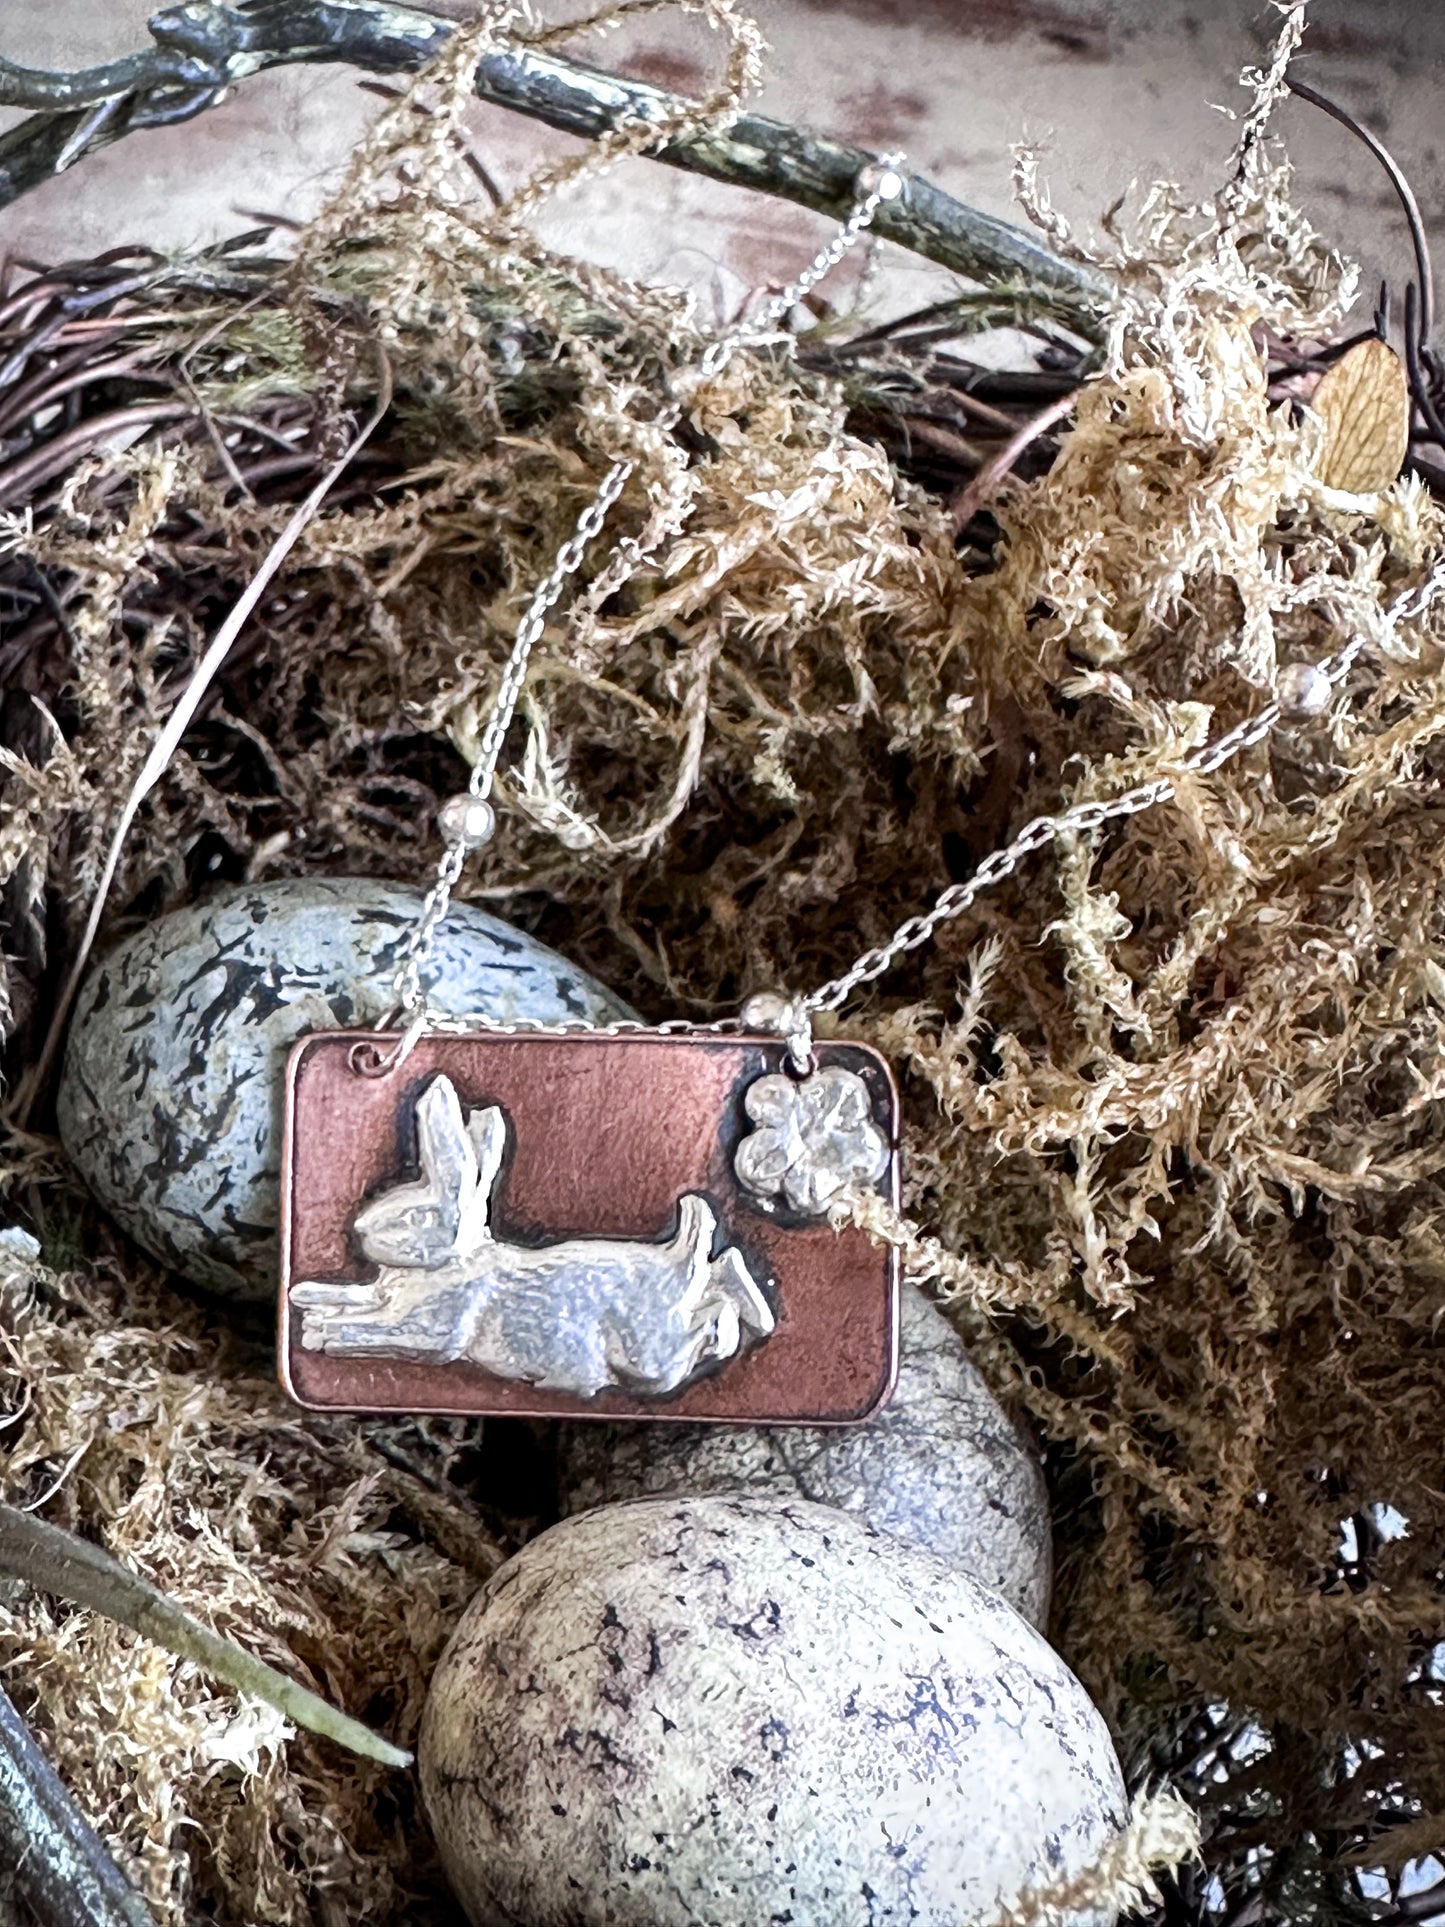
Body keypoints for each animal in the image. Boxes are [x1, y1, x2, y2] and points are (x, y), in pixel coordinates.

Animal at [292, 1074, 775, 1399]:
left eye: (417, 1216)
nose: (358, 1229)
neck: (460, 1257)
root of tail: (678, 1260)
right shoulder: (382, 1297)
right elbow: (353, 1297)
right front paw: (305, 1299)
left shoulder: (431, 1329)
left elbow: (370, 1329)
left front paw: (320, 1333)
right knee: (722, 1268)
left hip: (649, 1351)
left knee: (715, 1319)